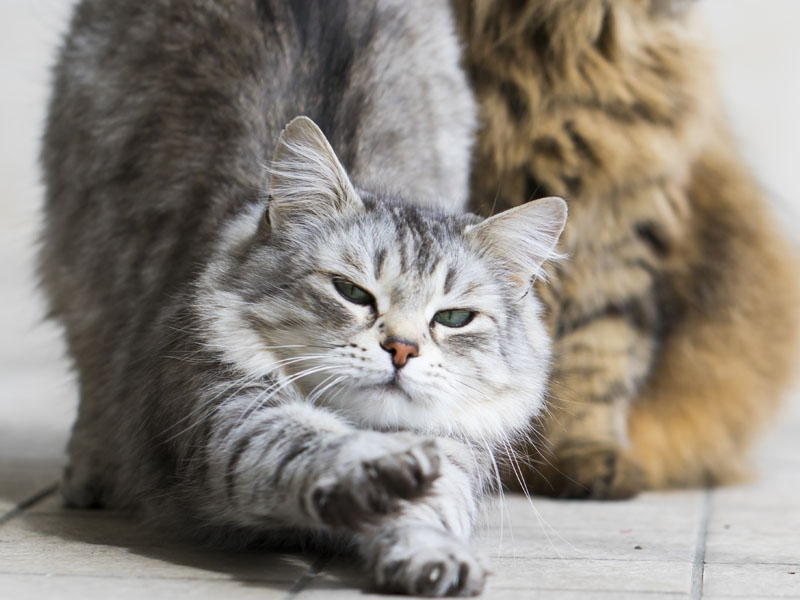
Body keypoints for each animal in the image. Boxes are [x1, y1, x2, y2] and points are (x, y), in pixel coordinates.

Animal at [39, 0, 568, 596]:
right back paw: (90, 471)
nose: (402, 350)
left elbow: (428, 508)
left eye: (454, 318)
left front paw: (432, 556)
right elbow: (310, 440)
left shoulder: (455, 451)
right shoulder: (227, 412)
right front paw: (376, 465)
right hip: (78, 265)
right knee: (93, 373)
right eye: (352, 292)